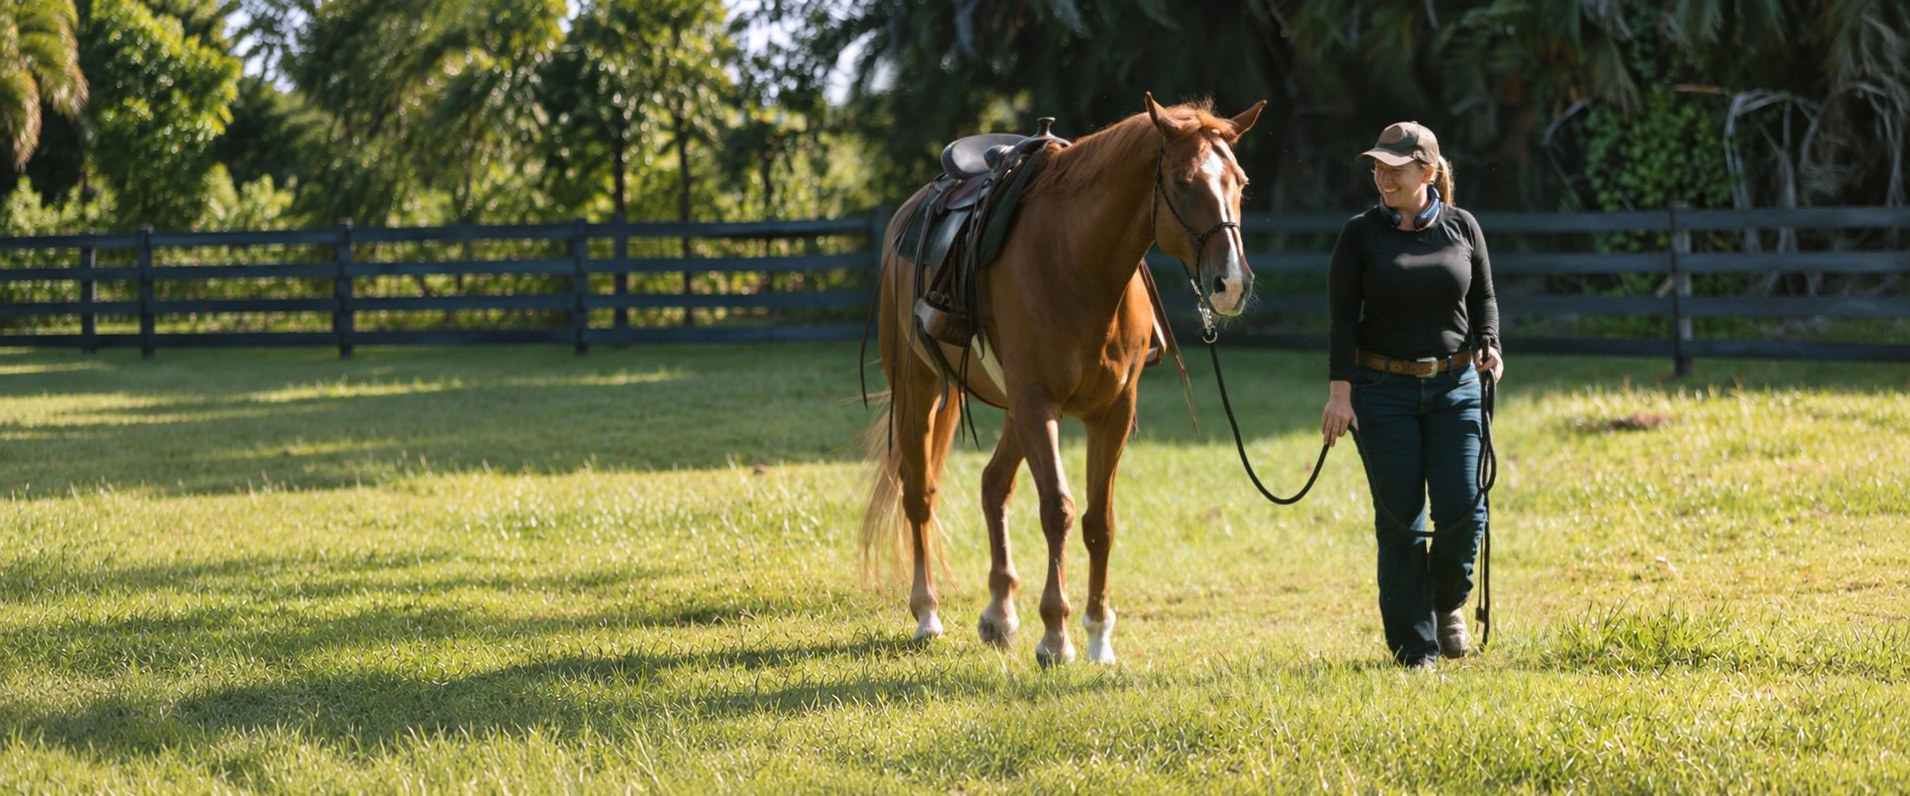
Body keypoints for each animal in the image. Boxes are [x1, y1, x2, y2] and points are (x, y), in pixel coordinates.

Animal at [861, 93, 1266, 665]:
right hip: (917, 386)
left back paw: (999, 613)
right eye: (1183, 181)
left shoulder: (1112, 411)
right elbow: (1058, 510)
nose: (1231, 283)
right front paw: (1055, 634)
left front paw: (1099, 634)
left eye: (1241, 181)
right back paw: (927, 613)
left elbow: (1100, 521)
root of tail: (910, 209)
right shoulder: (1039, 406)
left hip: (1012, 410)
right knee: (918, 493)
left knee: (993, 486)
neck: (1078, 264)